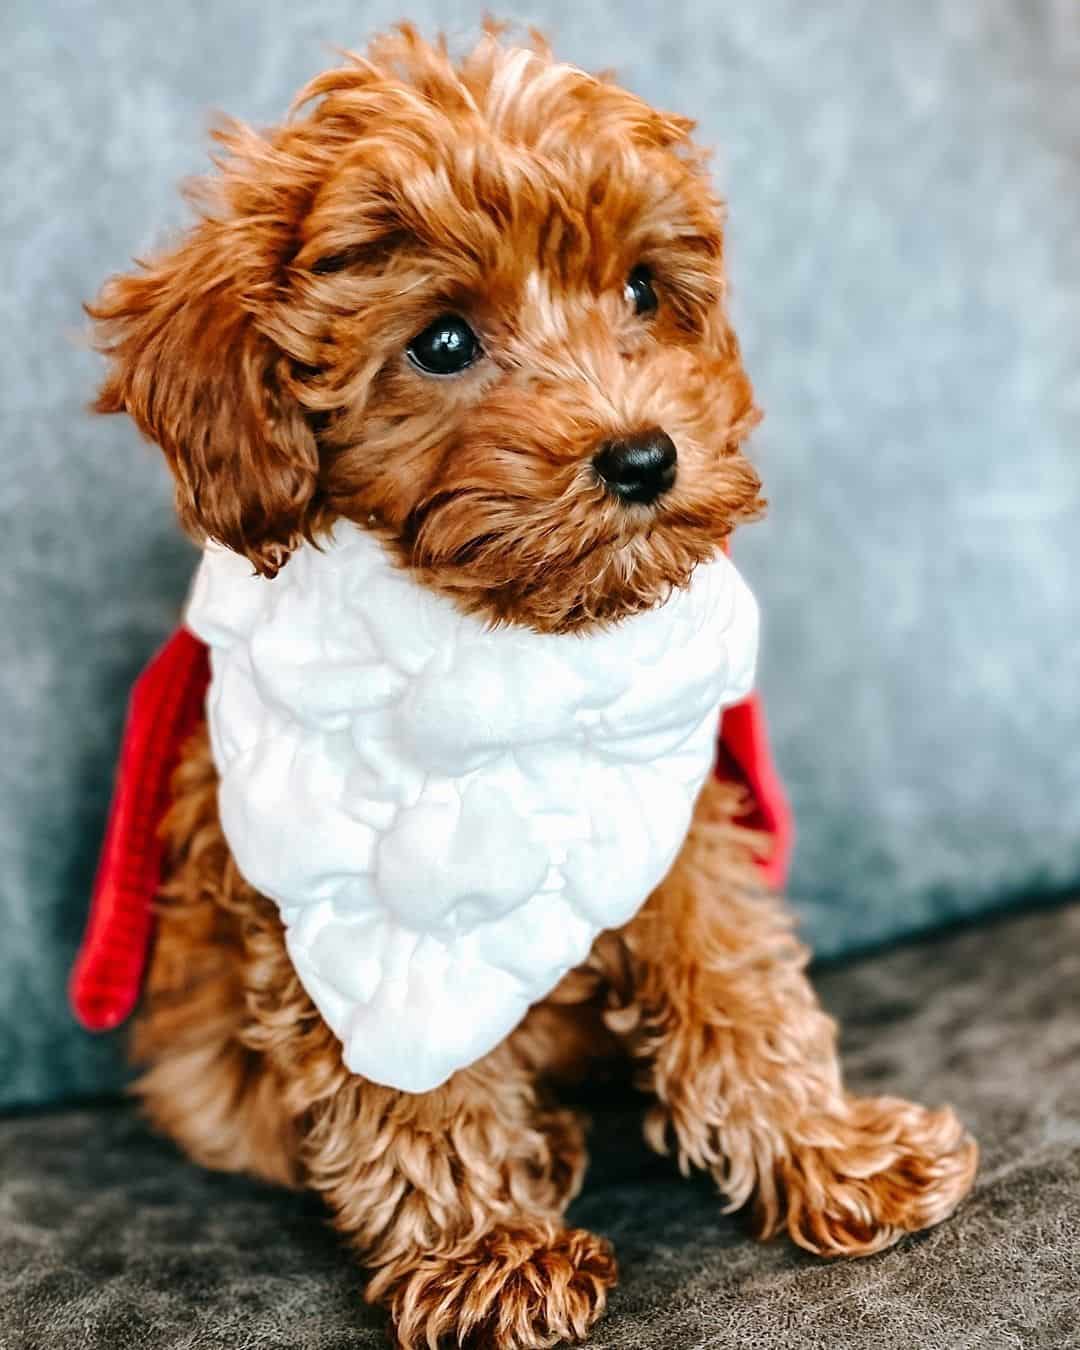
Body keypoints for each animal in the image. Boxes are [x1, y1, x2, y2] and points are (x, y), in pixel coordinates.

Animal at [84, 21, 977, 1350]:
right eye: (444, 342)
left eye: (642, 291)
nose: (645, 455)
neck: (519, 658)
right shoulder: (334, 891)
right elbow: (406, 1080)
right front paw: (484, 1251)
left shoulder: (670, 817)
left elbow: (737, 983)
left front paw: (833, 1149)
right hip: (200, 1067)